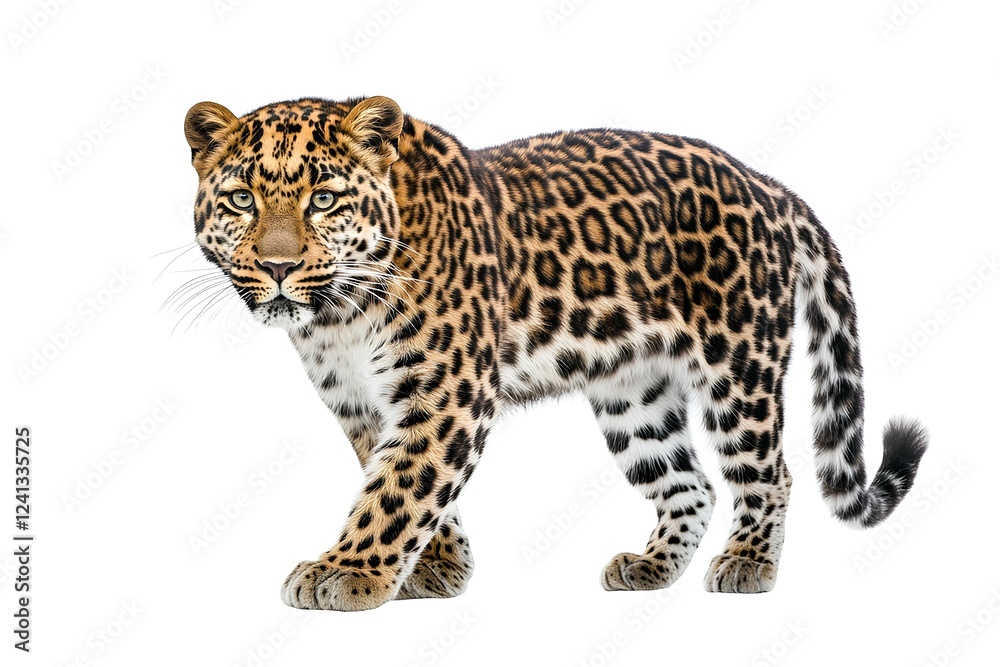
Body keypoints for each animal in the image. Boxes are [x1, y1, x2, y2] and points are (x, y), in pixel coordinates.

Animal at [180, 95, 928, 611]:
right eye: (242, 199)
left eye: (324, 199)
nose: (277, 267)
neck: (339, 316)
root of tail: (771, 186)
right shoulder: (363, 405)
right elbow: (407, 484)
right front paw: (436, 569)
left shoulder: (446, 393)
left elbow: (400, 487)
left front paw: (347, 572)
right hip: (634, 397)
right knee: (690, 483)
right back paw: (651, 567)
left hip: (737, 368)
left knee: (769, 475)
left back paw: (748, 565)